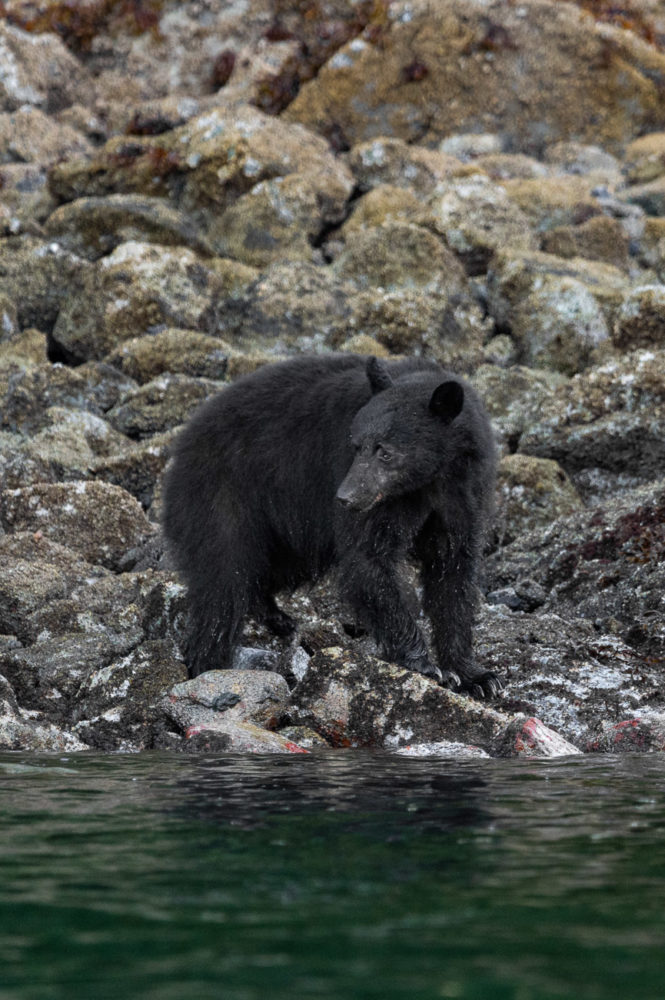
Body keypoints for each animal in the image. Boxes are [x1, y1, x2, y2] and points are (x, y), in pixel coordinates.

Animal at [162, 353, 500, 696]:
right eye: (356, 445)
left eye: (385, 452)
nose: (345, 497)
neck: (429, 481)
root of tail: (183, 442)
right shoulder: (379, 502)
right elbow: (367, 559)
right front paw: (424, 664)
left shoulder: (463, 494)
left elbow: (453, 572)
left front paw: (474, 674)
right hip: (223, 497)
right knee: (223, 583)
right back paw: (209, 664)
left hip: (287, 532)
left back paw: (277, 618)